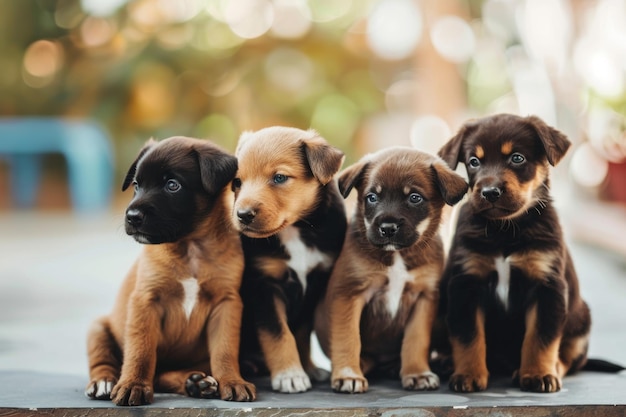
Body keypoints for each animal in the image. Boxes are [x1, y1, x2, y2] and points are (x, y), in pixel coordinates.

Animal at [84, 136, 255, 404]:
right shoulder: (145, 301)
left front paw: (233, 381)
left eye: (172, 185)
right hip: (98, 328)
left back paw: (196, 383)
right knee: (107, 362)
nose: (132, 216)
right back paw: (104, 382)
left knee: (163, 376)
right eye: (136, 185)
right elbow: (141, 350)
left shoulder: (226, 304)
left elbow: (225, 349)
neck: (190, 247)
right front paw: (133, 385)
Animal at [230, 125, 346, 392]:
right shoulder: (264, 287)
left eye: (279, 178)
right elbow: (278, 334)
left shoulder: (313, 286)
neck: (295, 230)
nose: (243, 215)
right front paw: (289, 375)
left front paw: (308, 368)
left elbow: (301, 333)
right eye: (237, 182)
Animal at [314, 147, 466, 394]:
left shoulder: (424, 298)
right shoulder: (349, 294)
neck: (397, 256)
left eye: (414, 198)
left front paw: (417, 373)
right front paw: (348, 374)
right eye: (372, 197)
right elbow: (348, 338)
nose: (387, 228)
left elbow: (416, 340)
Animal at [434, 112, 588, 392]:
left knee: (570, 359)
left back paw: (551, 370)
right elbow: (468, 336)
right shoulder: (466, 283)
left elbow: (541, 337)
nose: (489, 192)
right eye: (474, 161)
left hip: (581, 322)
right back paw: (447, 361)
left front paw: (538, 374)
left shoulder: (547, 286)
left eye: (517, 158)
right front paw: (468, 375)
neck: (505, 230)